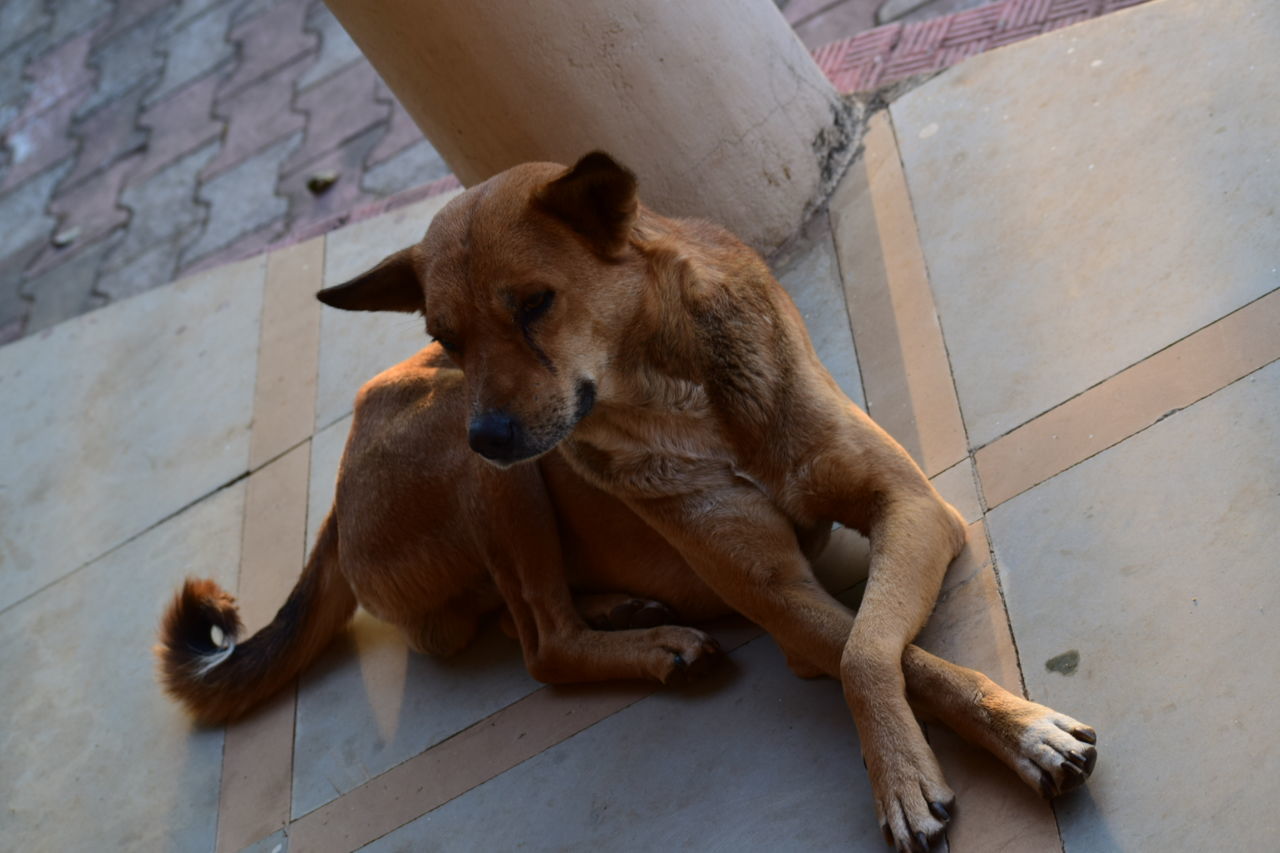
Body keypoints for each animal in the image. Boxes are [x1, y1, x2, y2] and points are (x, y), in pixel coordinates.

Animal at [160, 153, 1095, 850]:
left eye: (534, 303)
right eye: (447, 335)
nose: (489, 432)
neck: (672, 388)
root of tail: (338, 483)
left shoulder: (913, 507)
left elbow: (873, 647)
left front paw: (1011, 732)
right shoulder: (781, 601)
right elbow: (876, 656)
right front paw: (924, 768)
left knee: (524, 618)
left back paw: (620, 606)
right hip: (487, 471)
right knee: (538, 642)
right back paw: (649, 643)